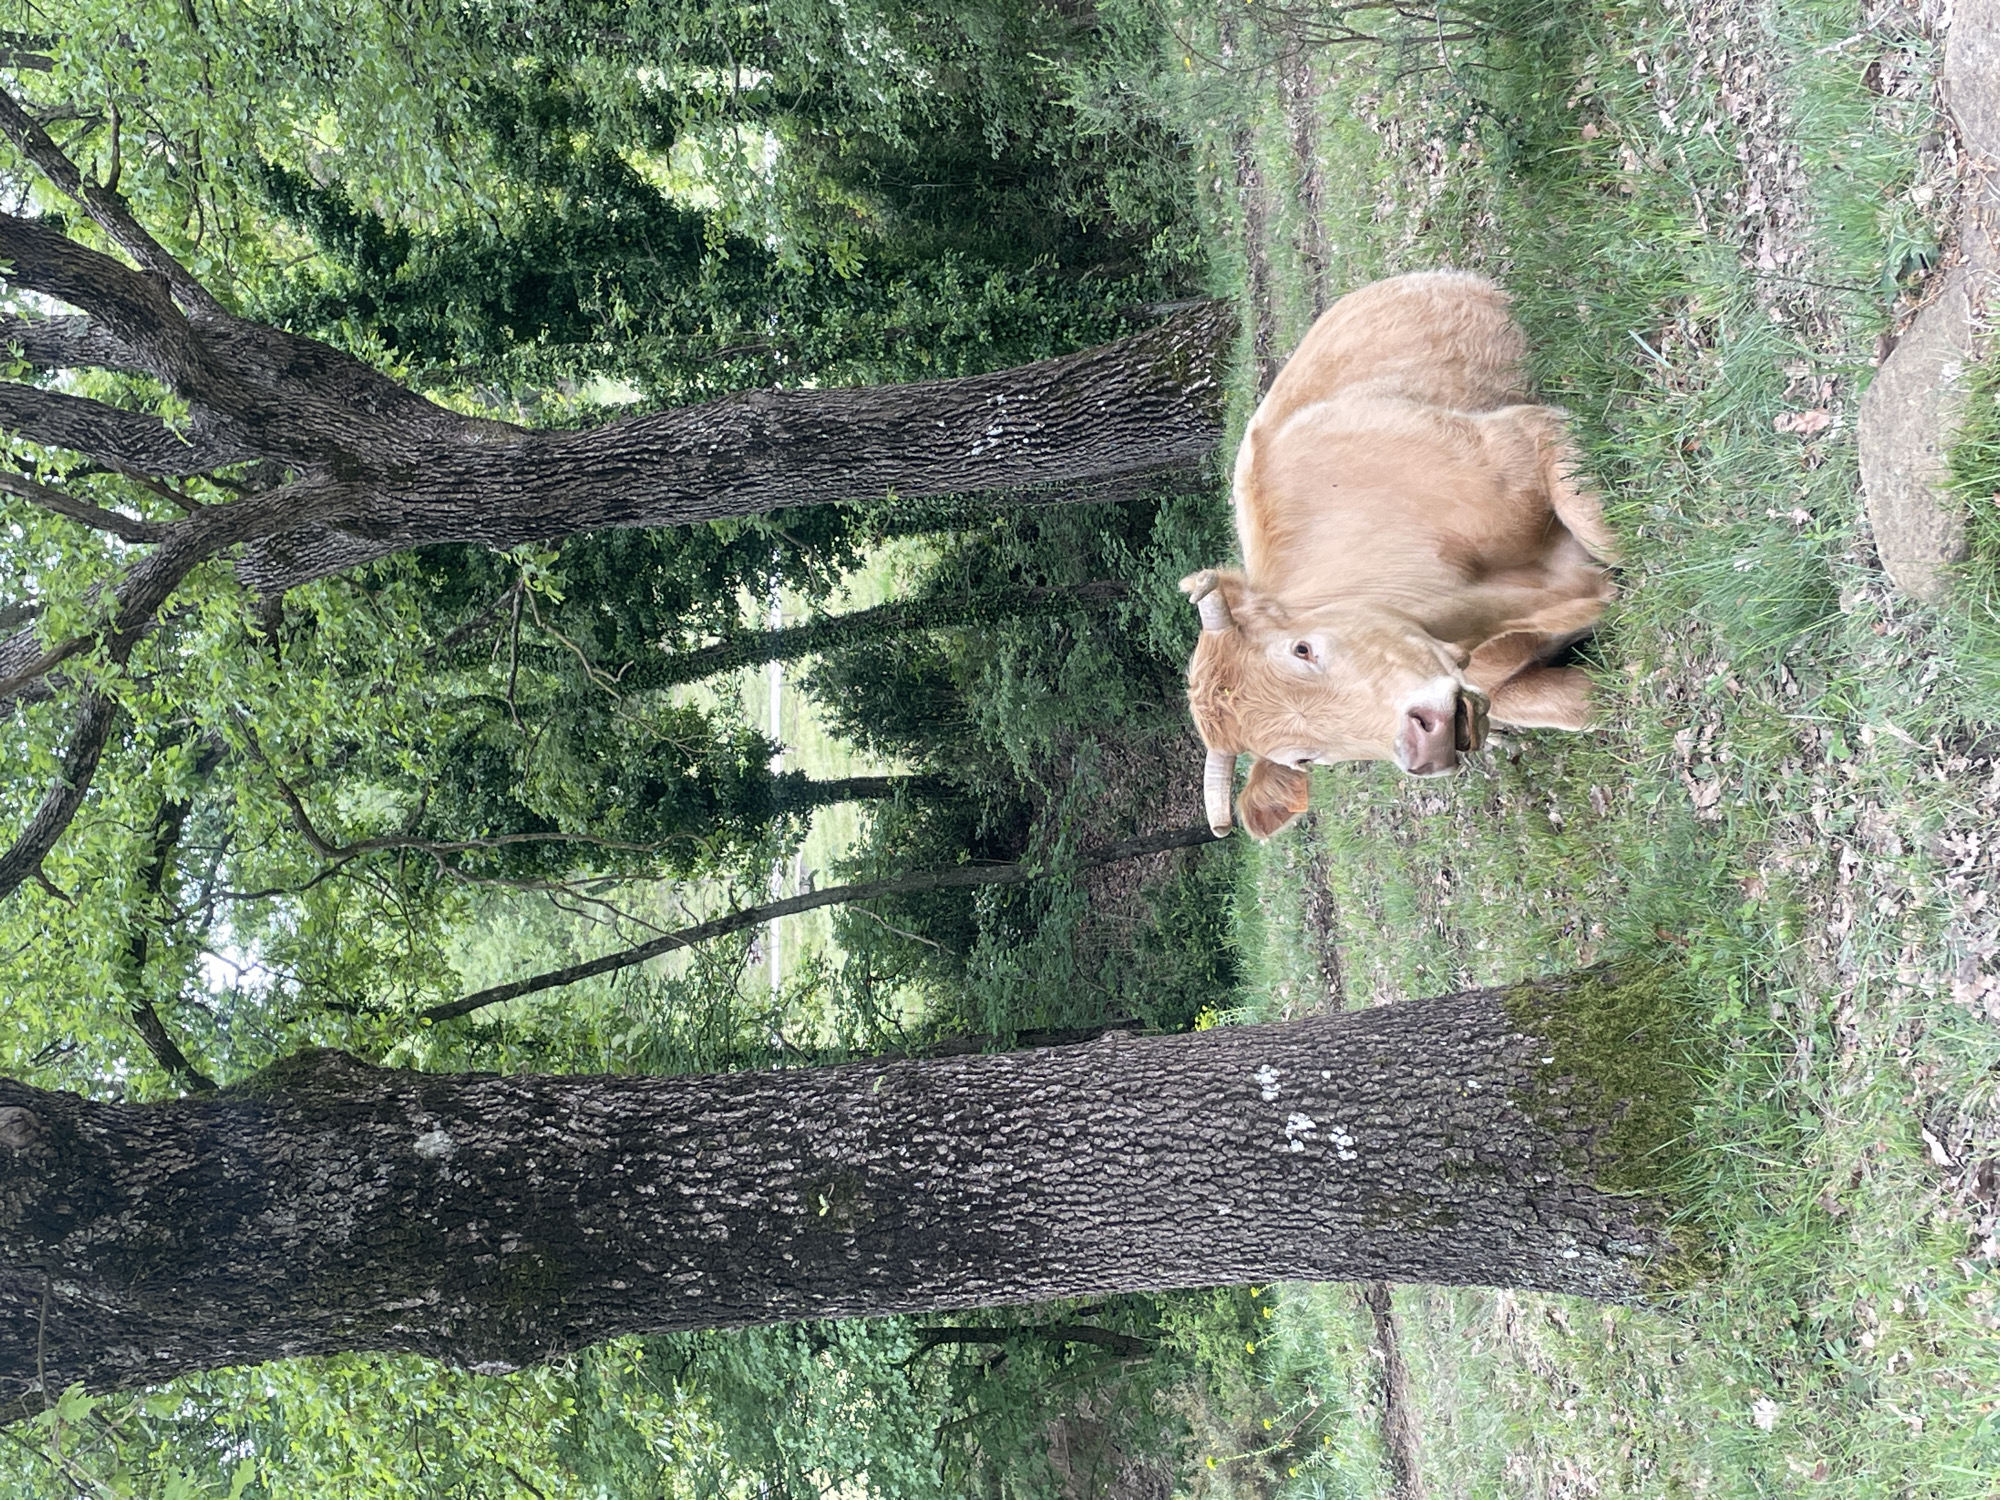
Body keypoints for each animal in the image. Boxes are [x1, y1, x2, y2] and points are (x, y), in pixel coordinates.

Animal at [1183, 270, 1619, 840]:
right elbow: (1586, 702)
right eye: (1304, 758)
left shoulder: (1527, 438)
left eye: (1302, 649)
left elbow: (1603, 526)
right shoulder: (1503, 687)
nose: (1422, 742)